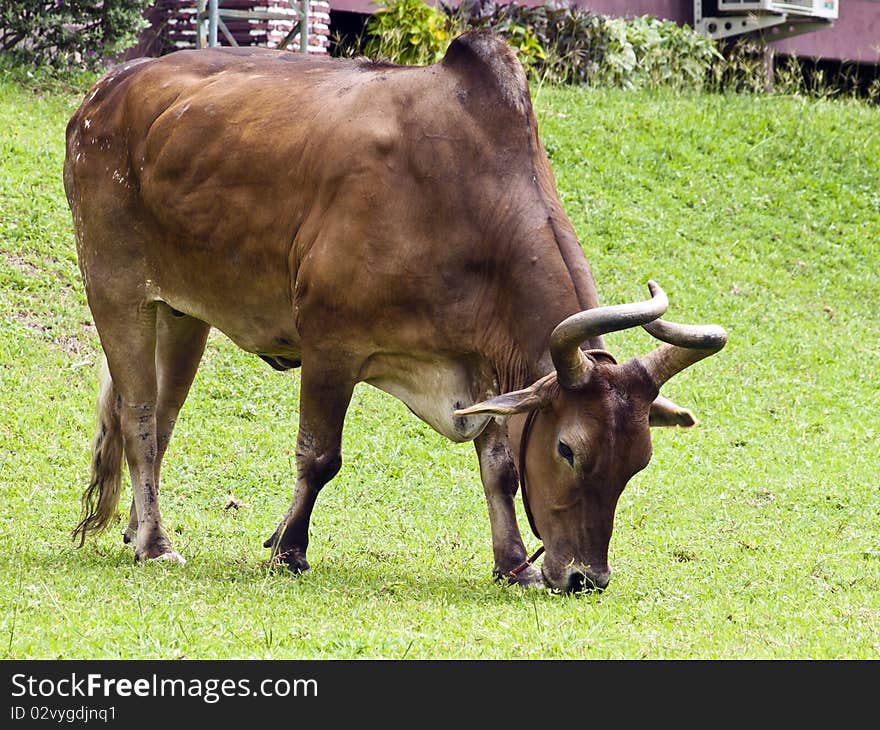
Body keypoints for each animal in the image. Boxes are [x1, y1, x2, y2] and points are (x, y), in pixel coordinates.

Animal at [63, 32, 728, 592]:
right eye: (568, 449)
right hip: (117, 289)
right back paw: (154, 543)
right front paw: (288, 550)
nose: (586, 578)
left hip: (181, 313)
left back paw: (136, 529)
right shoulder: (330, 345)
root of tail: (104, 91)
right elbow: (319, 456)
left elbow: (500, 468)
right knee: (139, 417)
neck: (466, 204)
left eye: (637, 463)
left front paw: (513, 562)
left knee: (161, 417)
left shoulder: (481, 365)